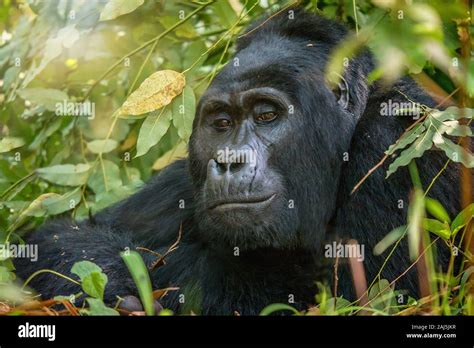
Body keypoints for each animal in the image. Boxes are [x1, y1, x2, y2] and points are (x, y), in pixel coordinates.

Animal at [14, 9, 460, 316]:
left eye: (267, 115)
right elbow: (66, 235)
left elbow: (370, 299)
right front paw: (126, 280)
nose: (229, 160)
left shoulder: (396, 140)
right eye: (222, 123)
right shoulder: (183, 177)